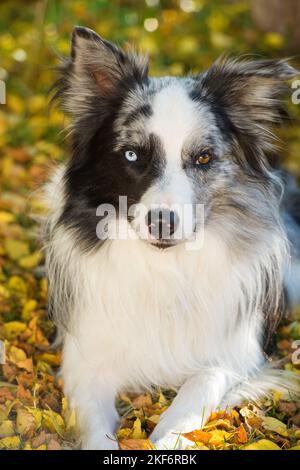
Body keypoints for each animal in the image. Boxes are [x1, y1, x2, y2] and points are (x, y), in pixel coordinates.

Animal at [42, 26, 300, 452]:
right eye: (132, 155)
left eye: (204, 158)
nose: (162, 222)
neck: (165, 267)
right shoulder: (86, 362)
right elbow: (95, 427)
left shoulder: (235, 354)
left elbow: (197, 389)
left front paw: (168, 438)